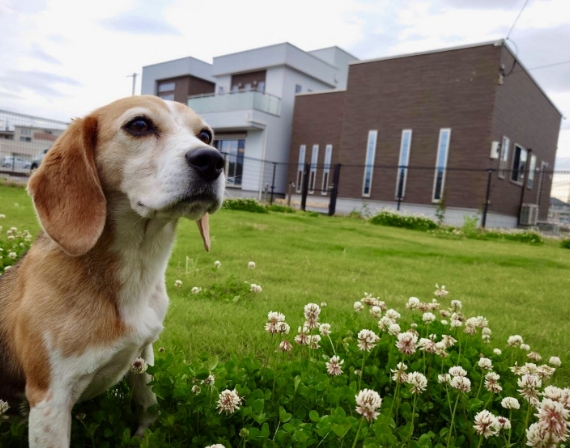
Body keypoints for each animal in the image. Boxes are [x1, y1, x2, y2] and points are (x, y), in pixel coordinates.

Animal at [0, 96, 224, 446]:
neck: (138, 264)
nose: (213, 161)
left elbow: (149, 403)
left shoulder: (143, 355)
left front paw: (144, 435)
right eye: (139, 125)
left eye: (206, 136)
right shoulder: (50, 399)